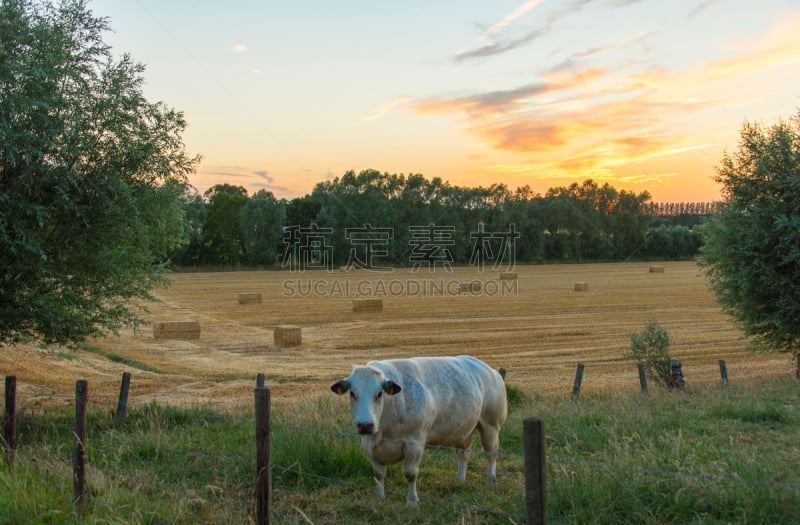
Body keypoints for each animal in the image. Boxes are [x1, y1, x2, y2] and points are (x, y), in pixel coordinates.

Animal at [330, 354, 506, 506]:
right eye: (352, 393)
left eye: (379, 393)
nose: (365, 425)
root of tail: (492, 371)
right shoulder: (368, 444)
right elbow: (378, 474)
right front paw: (380, 498)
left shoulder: (414, 442)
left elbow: (410, 473)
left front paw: (412, 501)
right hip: (464, 429)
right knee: (463, 454)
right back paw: (460, 479)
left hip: (491, 425)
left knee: (491, 453)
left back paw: (491, 480)